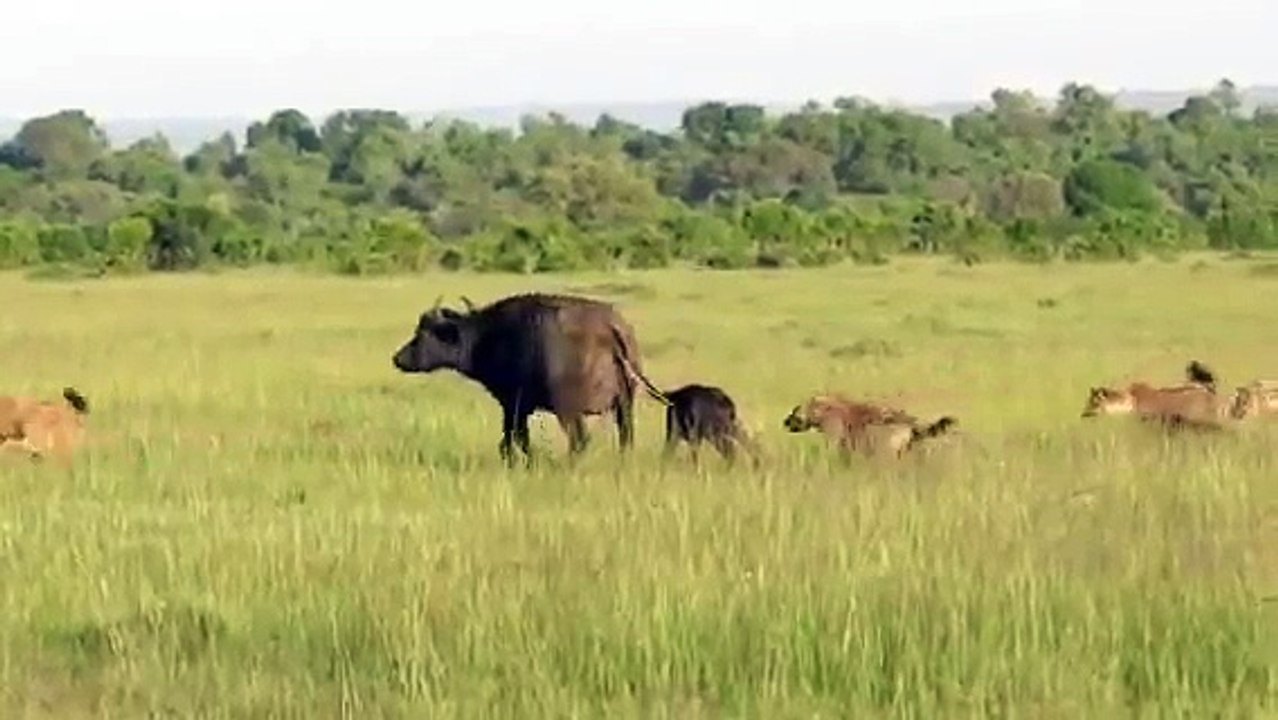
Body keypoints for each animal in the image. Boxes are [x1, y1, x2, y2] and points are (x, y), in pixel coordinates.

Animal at [392, 292, 669, 463]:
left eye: (424, 334)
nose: (398, 358)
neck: (485, 338)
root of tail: (609, 327)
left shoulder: (512, 405)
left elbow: (514, 439)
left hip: (568, 408)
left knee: (580, 440)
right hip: (625, 404)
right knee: (626, 437)